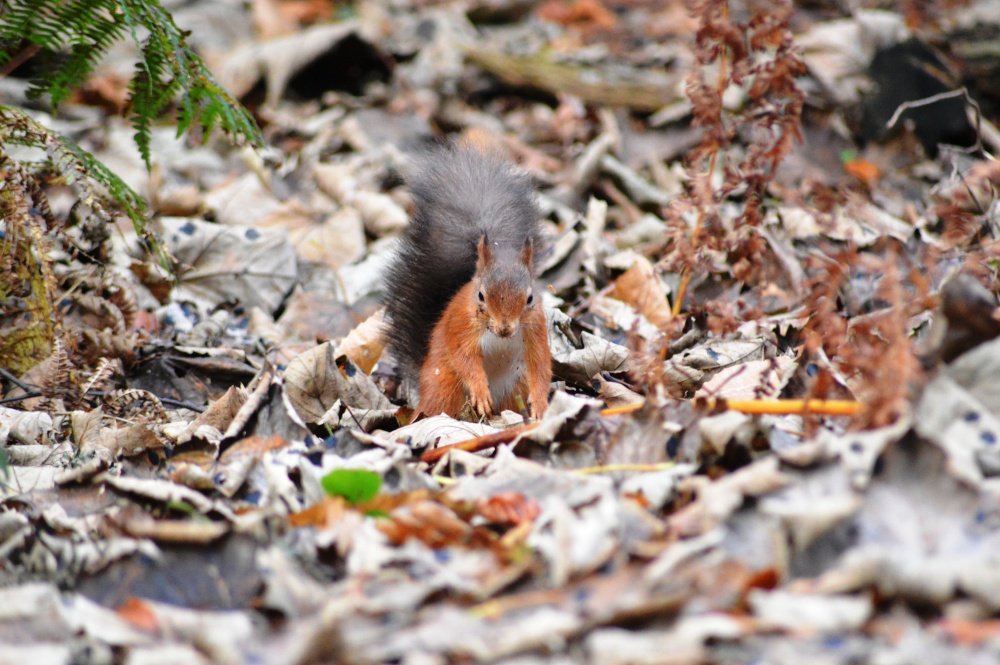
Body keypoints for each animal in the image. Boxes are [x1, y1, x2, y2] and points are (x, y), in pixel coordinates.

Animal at [383, 142, 552, 419]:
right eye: (481, 295)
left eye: (529, 298)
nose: (505, 328)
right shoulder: (459, 326)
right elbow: (464, 358)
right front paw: (480, 392)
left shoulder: (536, 329)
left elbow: (541, 367)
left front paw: (540, 404)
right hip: (446, 385)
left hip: (514, 386)